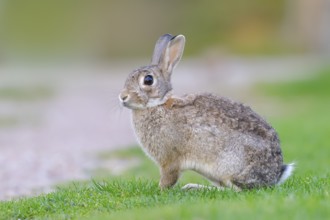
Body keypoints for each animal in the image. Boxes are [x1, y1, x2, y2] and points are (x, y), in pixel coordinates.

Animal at [118, 33, 294, 190]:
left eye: (148, 80)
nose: (122, 97)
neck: (158, 104)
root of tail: (274, 175)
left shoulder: (170, 159)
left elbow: (169, 177)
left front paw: (160, 189)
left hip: (229, 166)